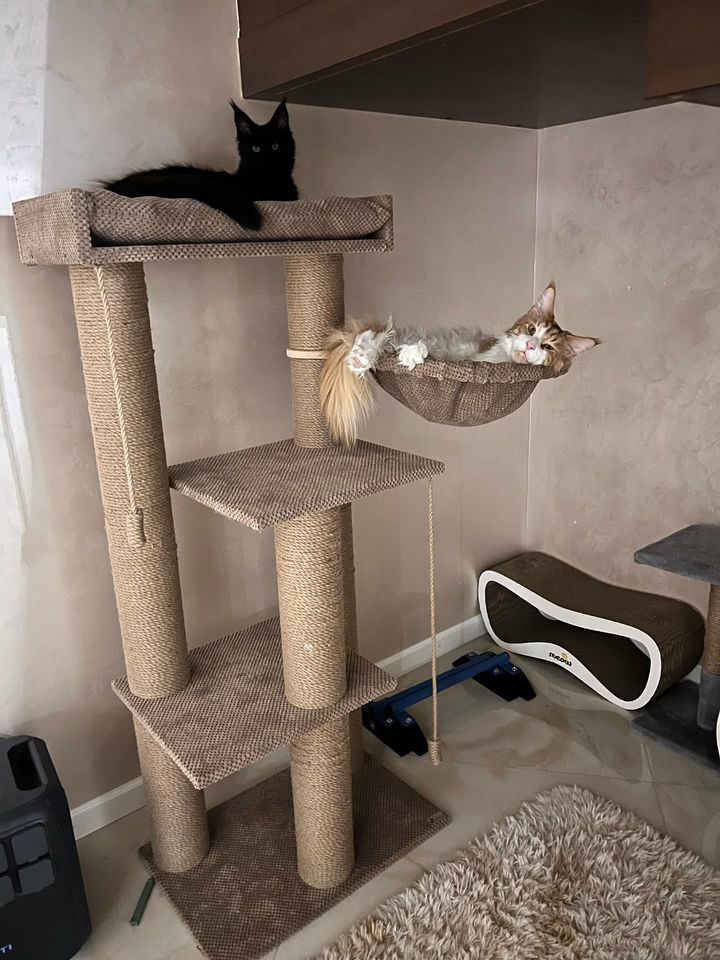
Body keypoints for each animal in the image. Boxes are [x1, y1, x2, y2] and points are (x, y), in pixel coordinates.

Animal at [320, 283, 599, 445]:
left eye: (547, 347)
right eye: (531, 329)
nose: (531, 345)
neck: (498, 359)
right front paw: (413, 354)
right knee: (377, 337)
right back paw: (363, 356)